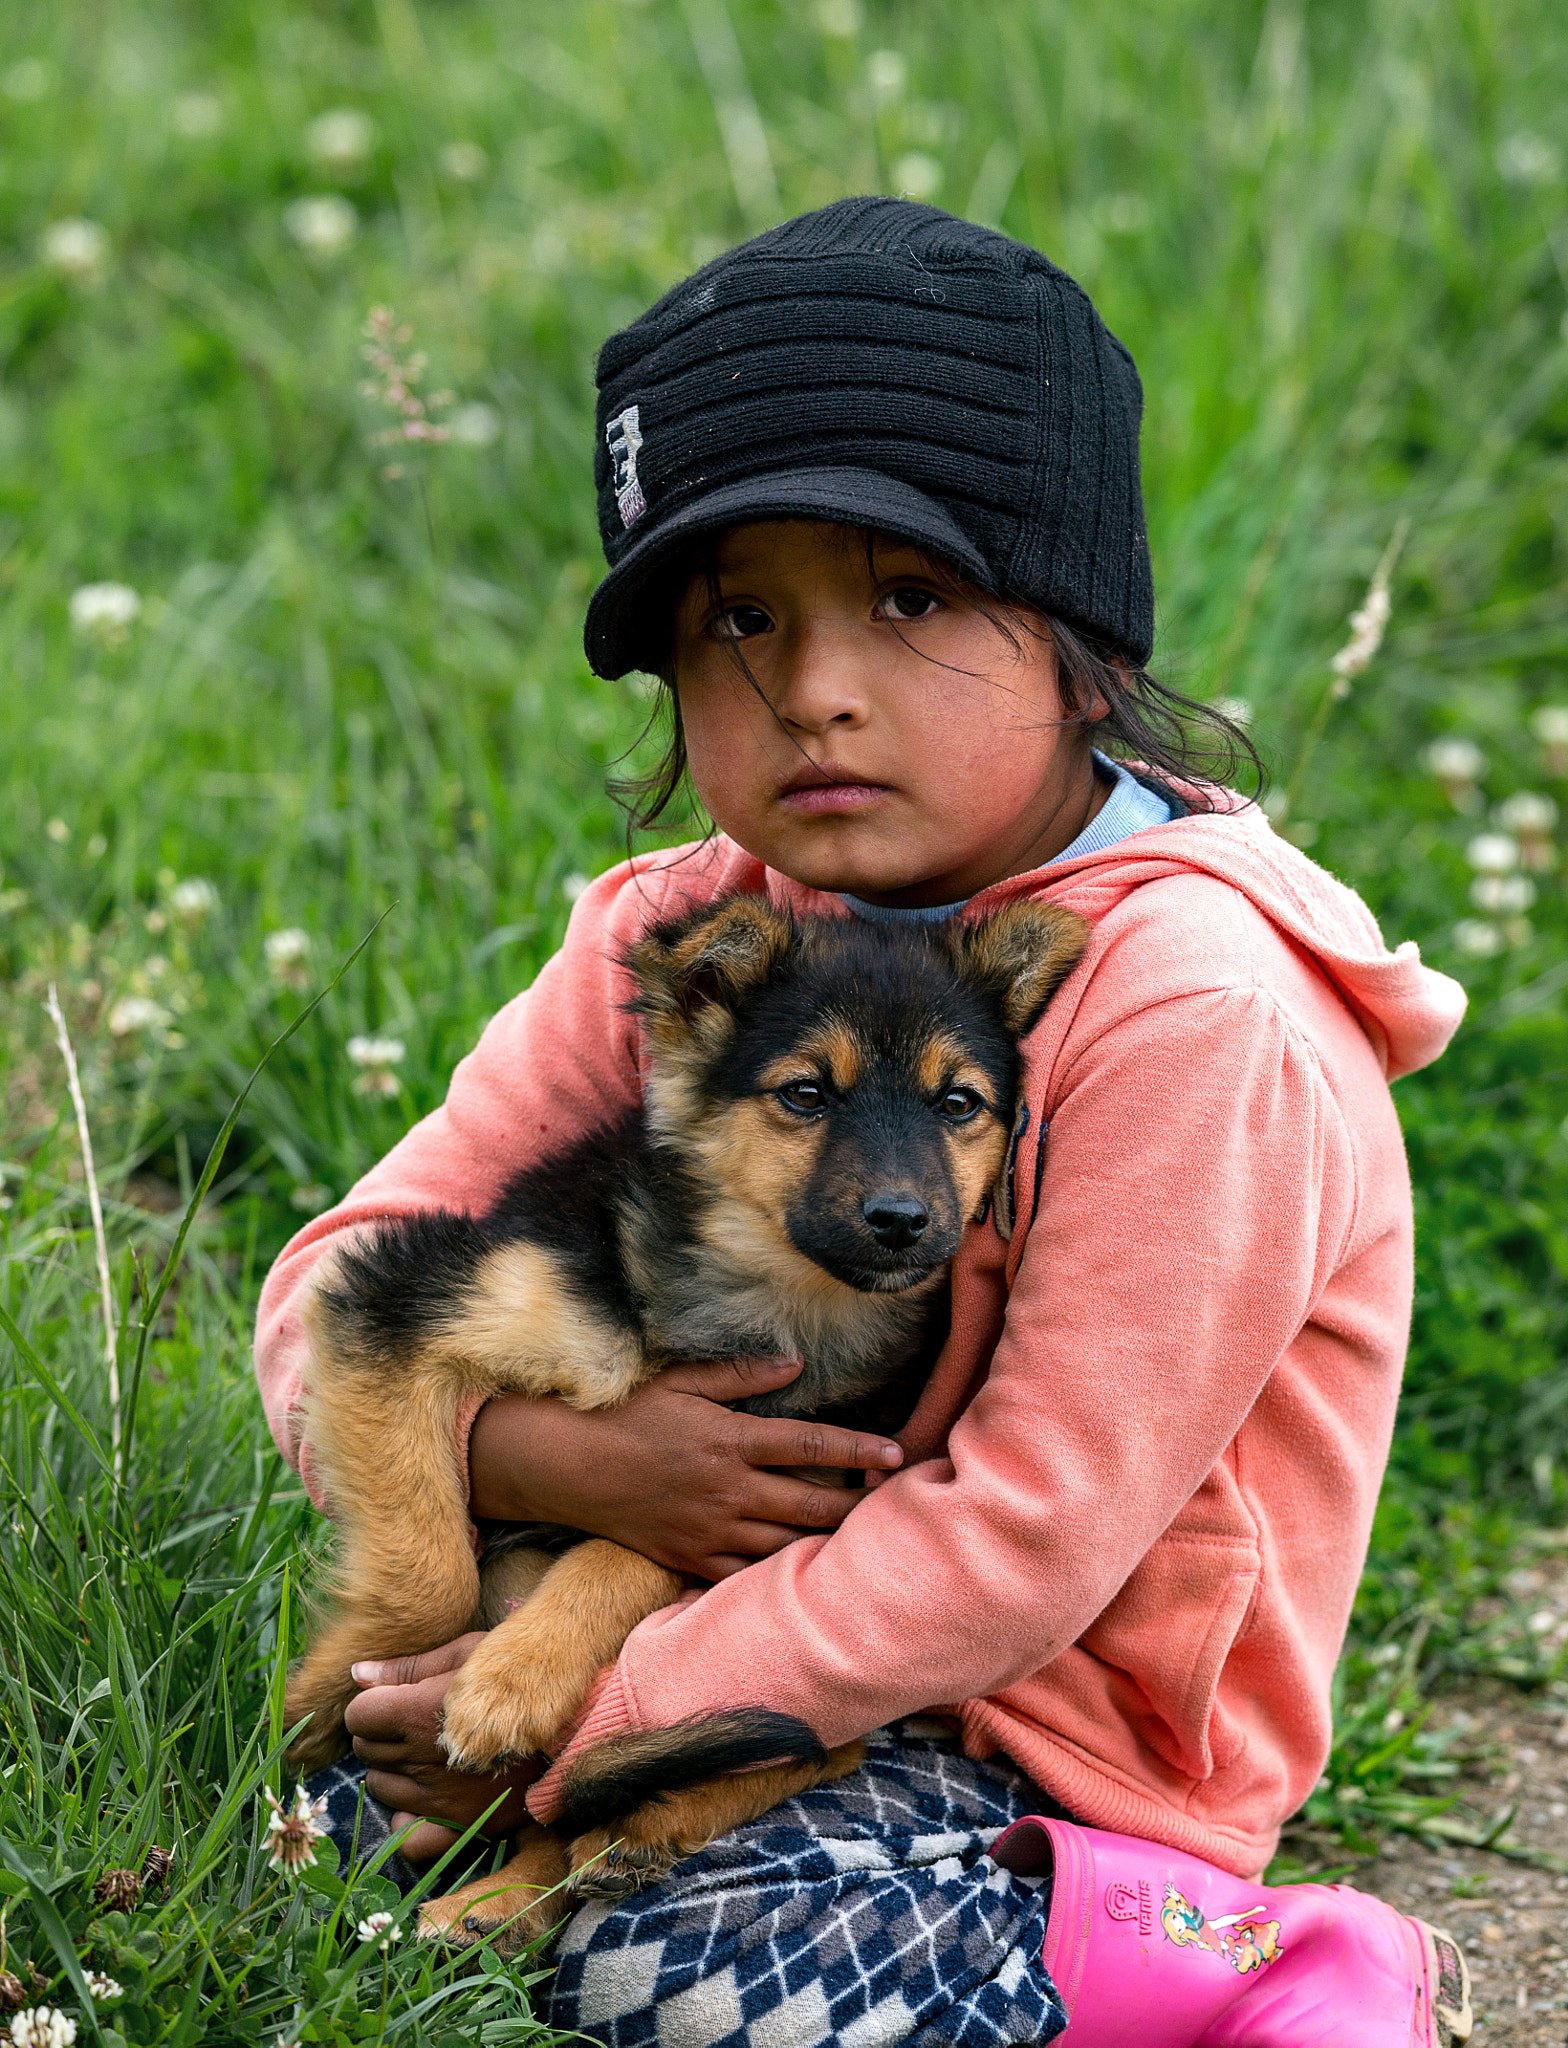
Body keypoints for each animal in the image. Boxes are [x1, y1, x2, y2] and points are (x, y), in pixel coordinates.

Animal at [286, 897, 1097, 1949]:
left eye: (958, 1103)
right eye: (806, 1093)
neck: (768, 1300)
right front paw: (316, 1701)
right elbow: (428, 1581)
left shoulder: (777, 1509)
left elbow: (625, 1553)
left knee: (806, 1752)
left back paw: (579, 1859)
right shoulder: (399, 1304)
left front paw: (509, 1686)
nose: (902, 1220)